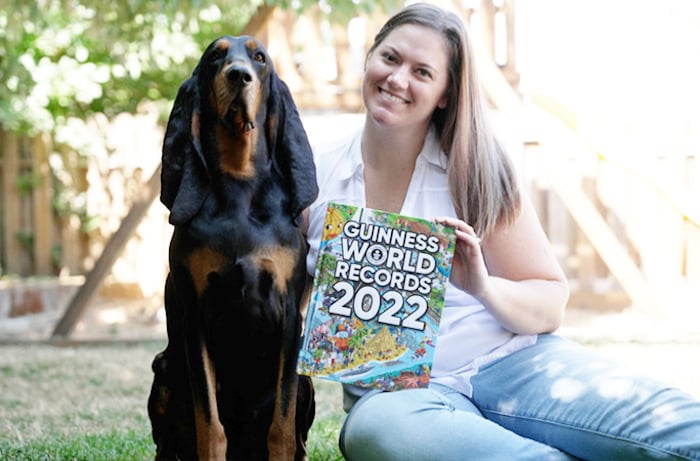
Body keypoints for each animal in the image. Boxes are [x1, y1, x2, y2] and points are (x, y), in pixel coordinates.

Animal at [149, 36, 318, 460]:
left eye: (259, 58)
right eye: (215, 57)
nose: (239, 75)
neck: (240, 187)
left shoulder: (289, 318)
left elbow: (281, 428)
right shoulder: (196, 320)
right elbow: (210, 426)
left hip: (306, 378)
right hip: (163, 369)